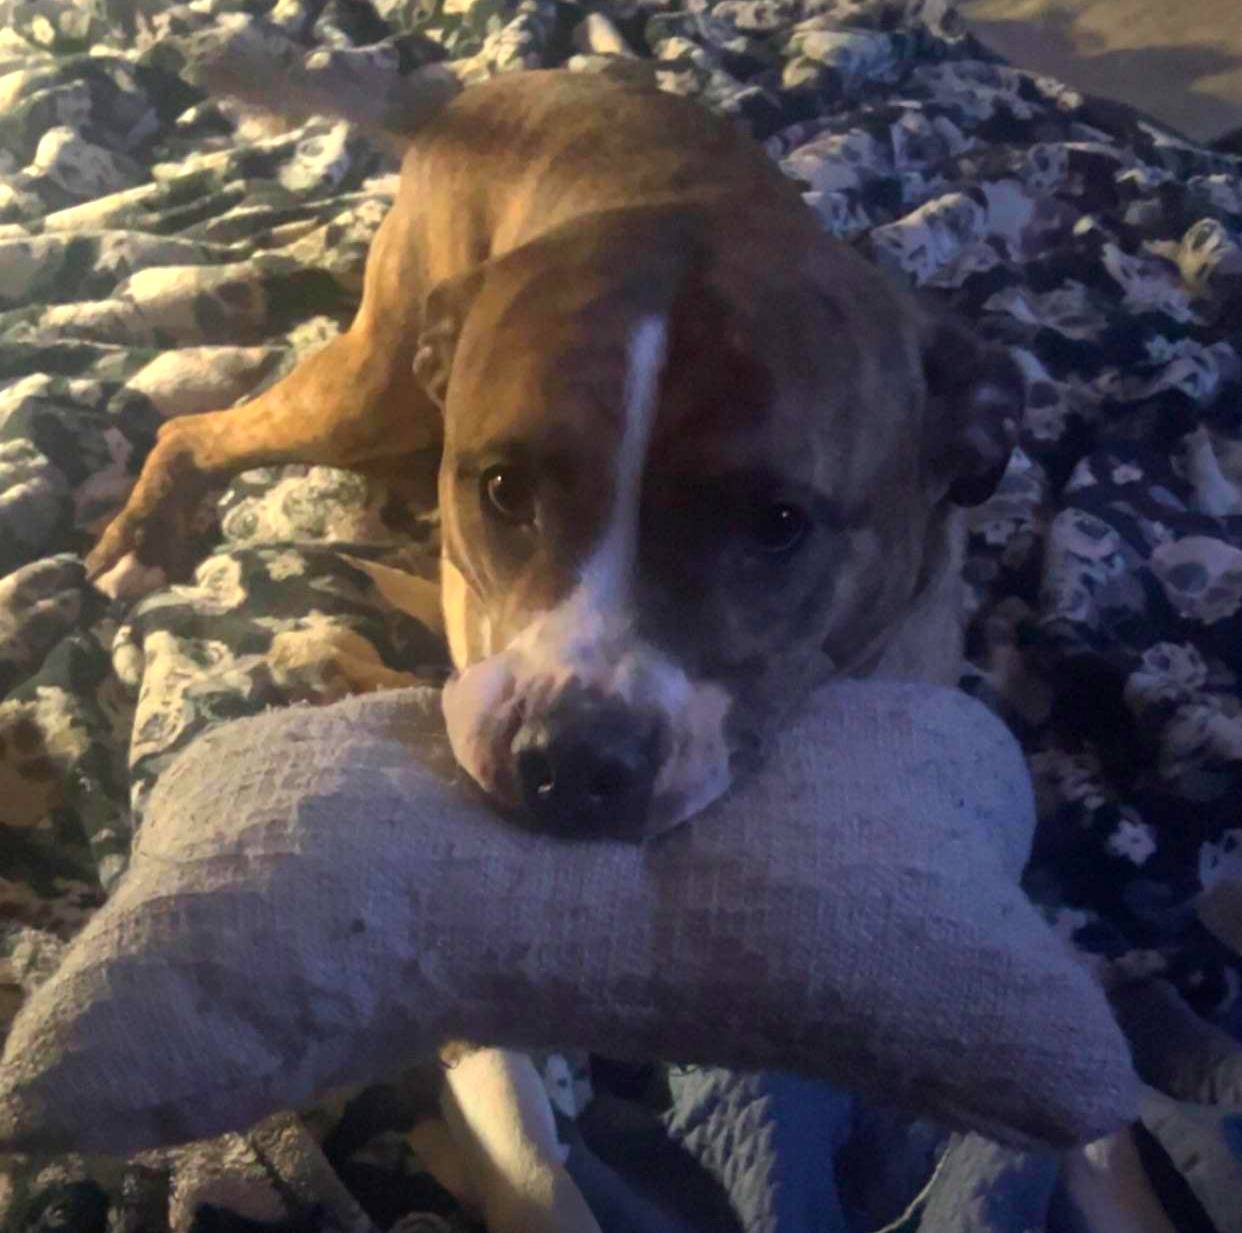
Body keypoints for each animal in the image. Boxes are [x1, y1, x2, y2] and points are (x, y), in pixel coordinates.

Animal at [85, 69, 1018, 1231]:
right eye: (503, 489)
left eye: (778, 524)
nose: (569, 764)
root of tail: (481, 91)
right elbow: (523, 1137)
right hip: (371, 389)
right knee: (202, 432)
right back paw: (158, 544)